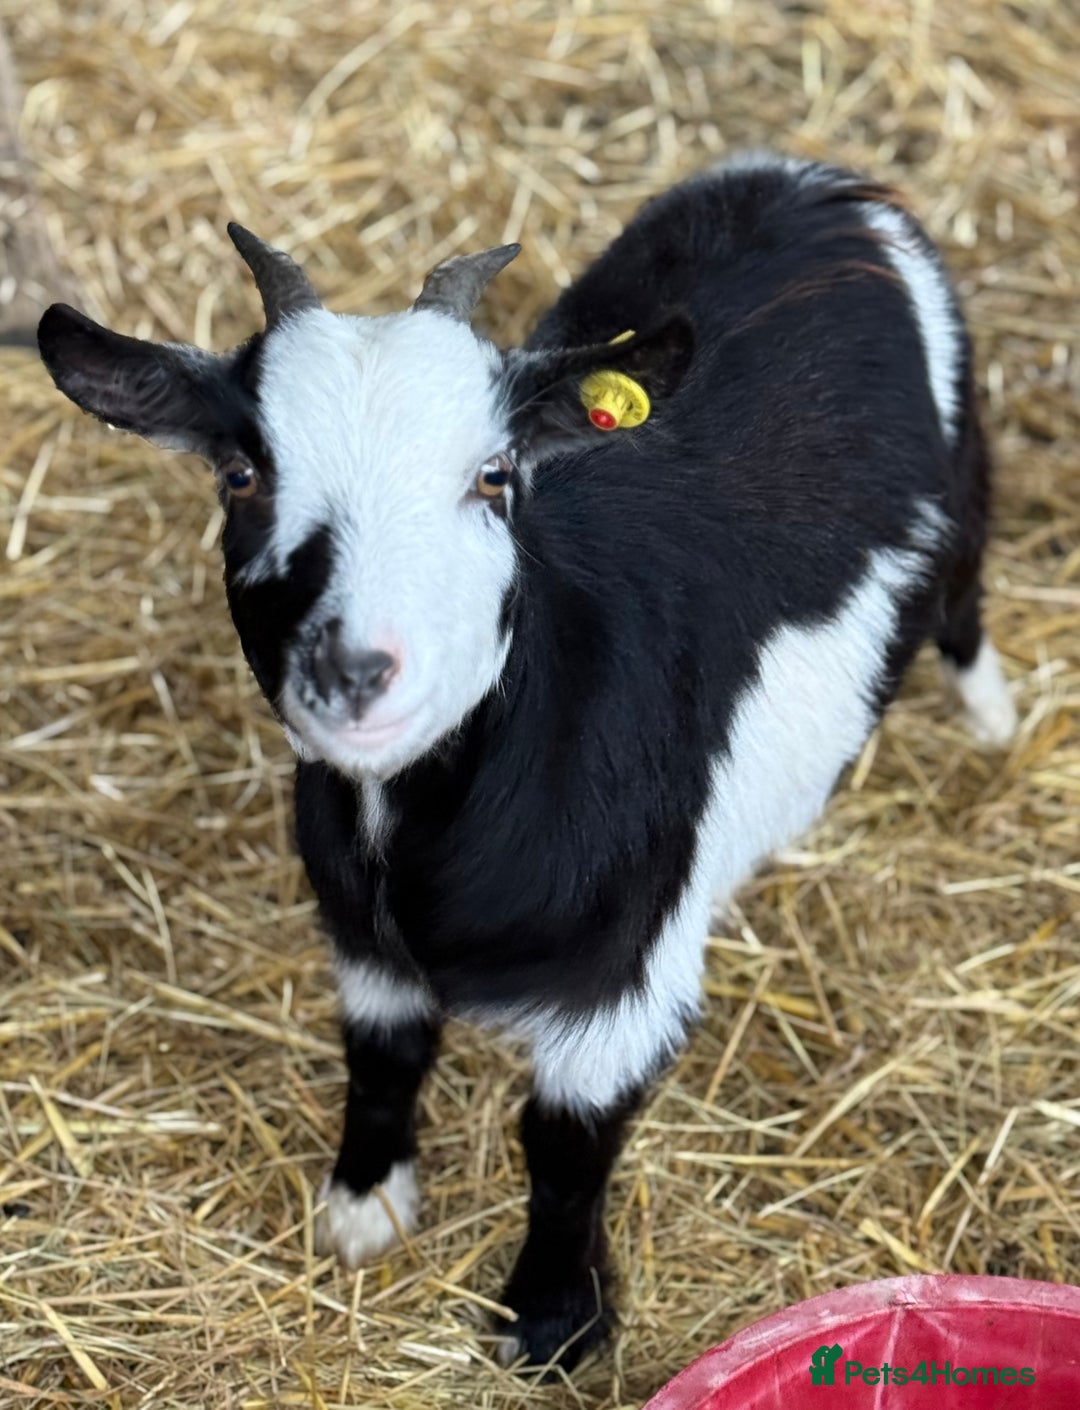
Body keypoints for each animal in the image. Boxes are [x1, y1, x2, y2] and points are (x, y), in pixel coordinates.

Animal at [38, 152, 1016, 1373]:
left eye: (495, 475)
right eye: (242, 473)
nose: (356, 669)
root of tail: (825, 183)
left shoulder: (627, 980)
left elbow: (563, 1142)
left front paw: (552, 1319)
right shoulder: (365, 940)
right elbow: (382, 1057)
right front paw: (367, 1207)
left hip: (968, 463)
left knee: (966, 590)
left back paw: (992, 718)